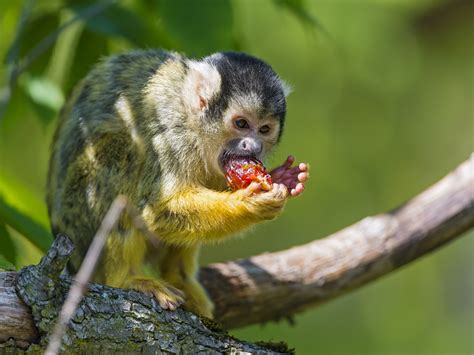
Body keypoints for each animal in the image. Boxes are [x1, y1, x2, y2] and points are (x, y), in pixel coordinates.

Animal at [47, 48, 308, 318]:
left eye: (264, 129)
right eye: (241, 123)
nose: (253, 146)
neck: (196, 127)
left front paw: (282, 177)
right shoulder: (173, 134)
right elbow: (158, 211)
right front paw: (250, 203)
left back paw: (179, 278)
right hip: (78, 217)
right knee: (122, 149)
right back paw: (127, 278)